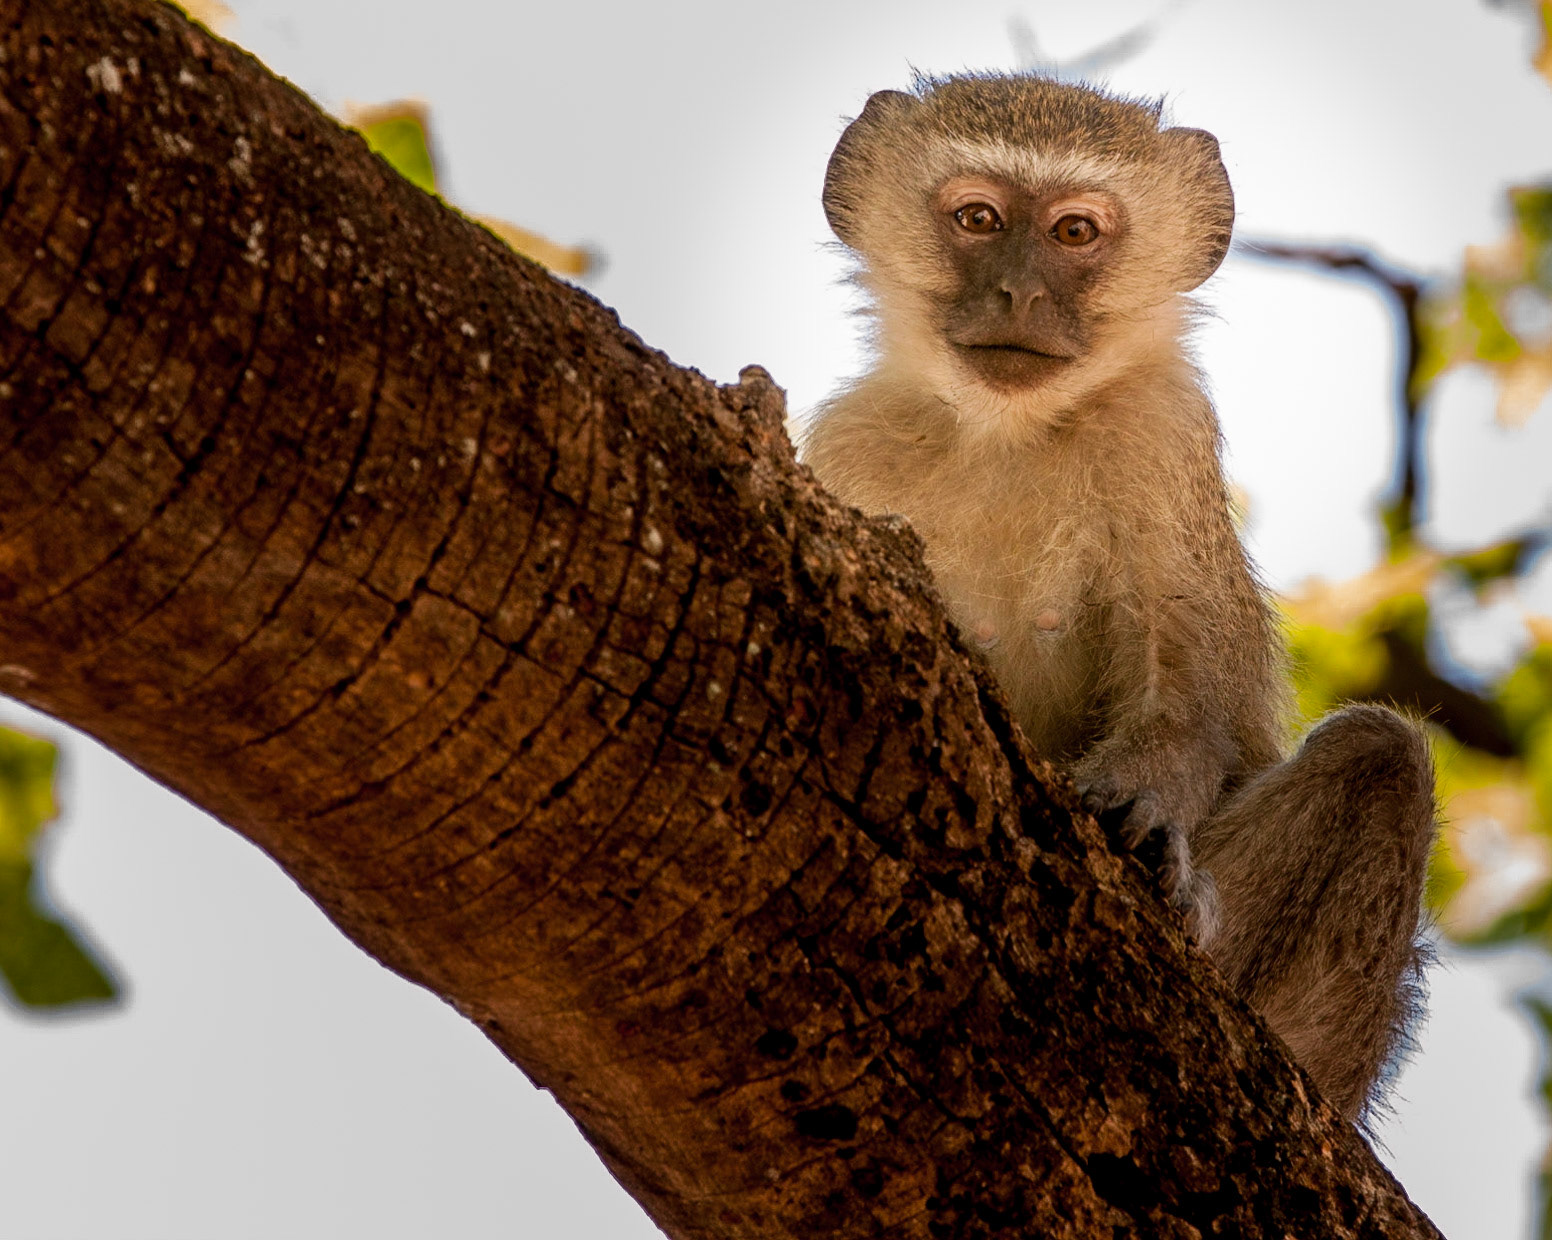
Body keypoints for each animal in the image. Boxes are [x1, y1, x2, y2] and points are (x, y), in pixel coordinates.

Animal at [801, 73, 1437, 1122]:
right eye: (977, 219)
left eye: (1073, 233)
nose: (1018, 291)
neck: (1003, 434)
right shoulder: (846, 455)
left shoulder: (1161, 432)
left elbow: (1187, 697)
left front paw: (1144, 812)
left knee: (1378, 754)